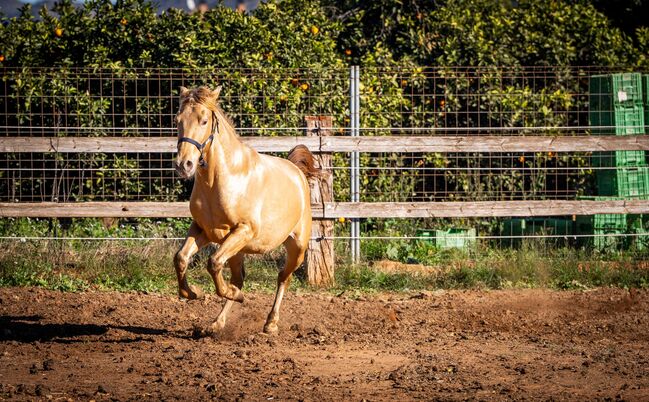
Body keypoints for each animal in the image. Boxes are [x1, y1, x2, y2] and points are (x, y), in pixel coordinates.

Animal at [173, 85, 318, 332]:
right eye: (177, 120)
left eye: (204, 121)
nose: (184, 165)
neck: (223, 179)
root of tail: (297, 172)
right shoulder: (204, 230)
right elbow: (181, 258)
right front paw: (193, 293)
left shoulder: (244, 231)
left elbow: (213, 263)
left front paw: (233, 295)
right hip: (237, 249)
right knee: (238, 277)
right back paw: (217, 322)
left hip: (297, 248)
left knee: (283, 277)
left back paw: (270, 323)